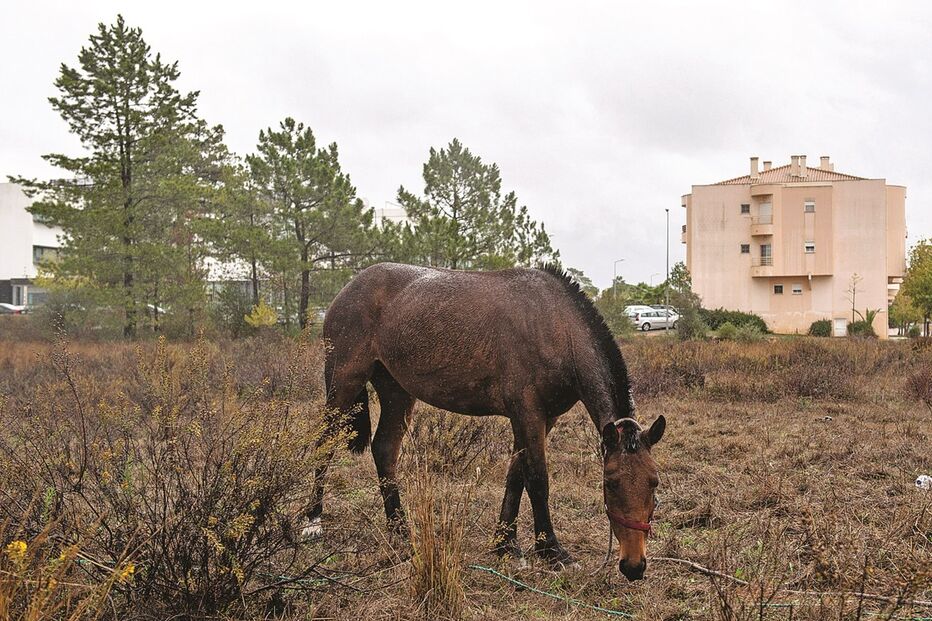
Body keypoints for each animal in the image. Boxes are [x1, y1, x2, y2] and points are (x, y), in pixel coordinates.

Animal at [306, 262, 665, 581]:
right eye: (611, 482)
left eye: (654, 482)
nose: (634, 566)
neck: (557, 325)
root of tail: (349, 288)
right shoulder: (527, 413)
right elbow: (537, 479)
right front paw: (551, 550)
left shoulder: (541, 419)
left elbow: (516, 477)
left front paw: (505, 544)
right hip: (343, 382)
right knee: (323, 446)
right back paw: (312, 521)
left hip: (396, 392)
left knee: (384, 450)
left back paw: (399, 529)